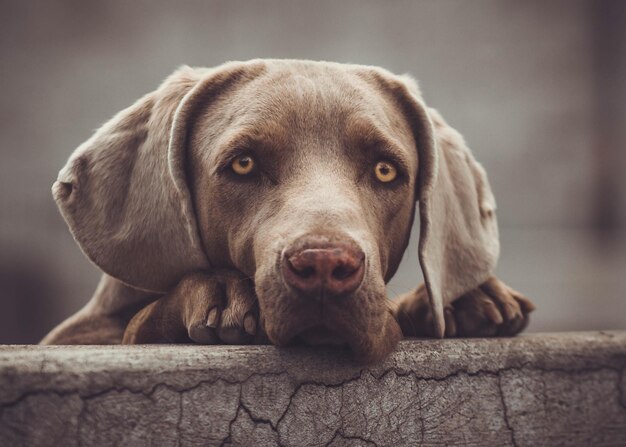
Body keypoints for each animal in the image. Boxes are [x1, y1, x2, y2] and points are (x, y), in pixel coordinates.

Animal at [42, 59, 532, 362]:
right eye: (243, 164)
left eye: (386, 170)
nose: (324, 265)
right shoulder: (75, 334)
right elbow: (140, 320)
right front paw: (220, 292)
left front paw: (470, 299)